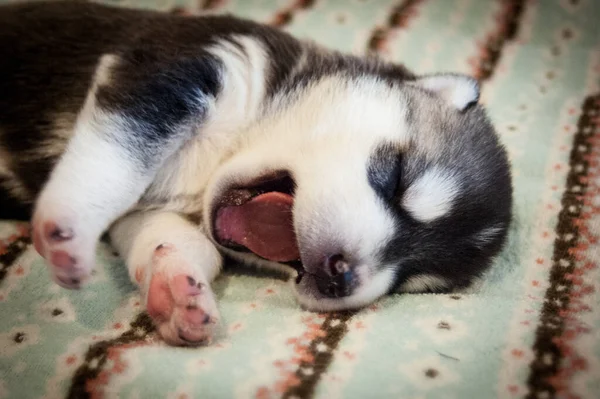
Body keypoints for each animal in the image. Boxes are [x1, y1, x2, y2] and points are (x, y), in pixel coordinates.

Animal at [0, 0, 510, 346]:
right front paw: (68, 231)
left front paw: (179, 292)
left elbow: (175, 241)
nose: (342, 278)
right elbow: (117, 155)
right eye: (396, 178)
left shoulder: (149, 213)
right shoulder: (180, 70)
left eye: (410, 279)